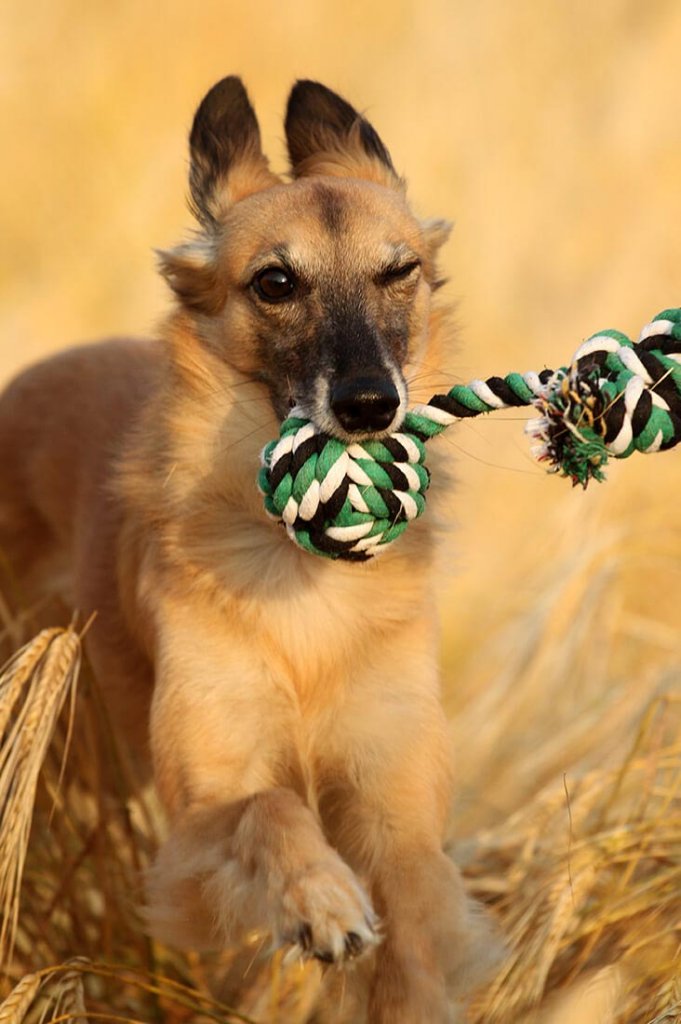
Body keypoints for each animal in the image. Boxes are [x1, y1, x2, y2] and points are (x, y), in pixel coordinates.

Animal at [0, 75, 493, 1019]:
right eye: (275, 282)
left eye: (398, 271)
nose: (370, 405)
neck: (303, 582)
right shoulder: (197, 824)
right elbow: (267, 810)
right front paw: (321, 900)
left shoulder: (396, 802)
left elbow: (411, 927)